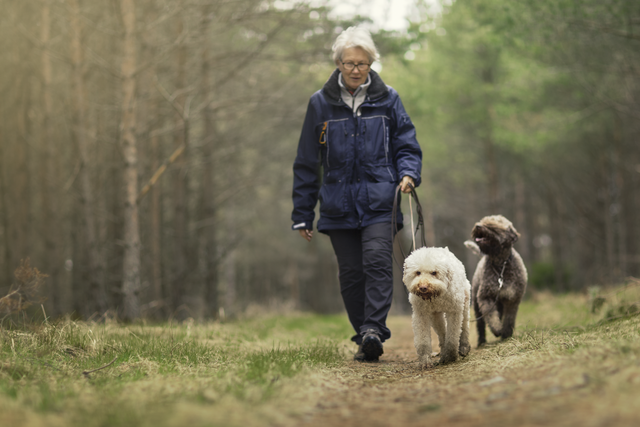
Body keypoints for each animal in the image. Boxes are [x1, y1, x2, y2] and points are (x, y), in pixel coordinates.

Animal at [468, 214, 528, 348]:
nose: (478, 226)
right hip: (476, 305)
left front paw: (506, 333)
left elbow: (509, 318)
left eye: (492, 225)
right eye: (483, 221)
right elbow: (491, 316)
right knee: (480, 324)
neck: (501, 266)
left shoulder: (513, 298)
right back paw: (481, 341)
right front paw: (497, 329)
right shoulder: (485, 297)